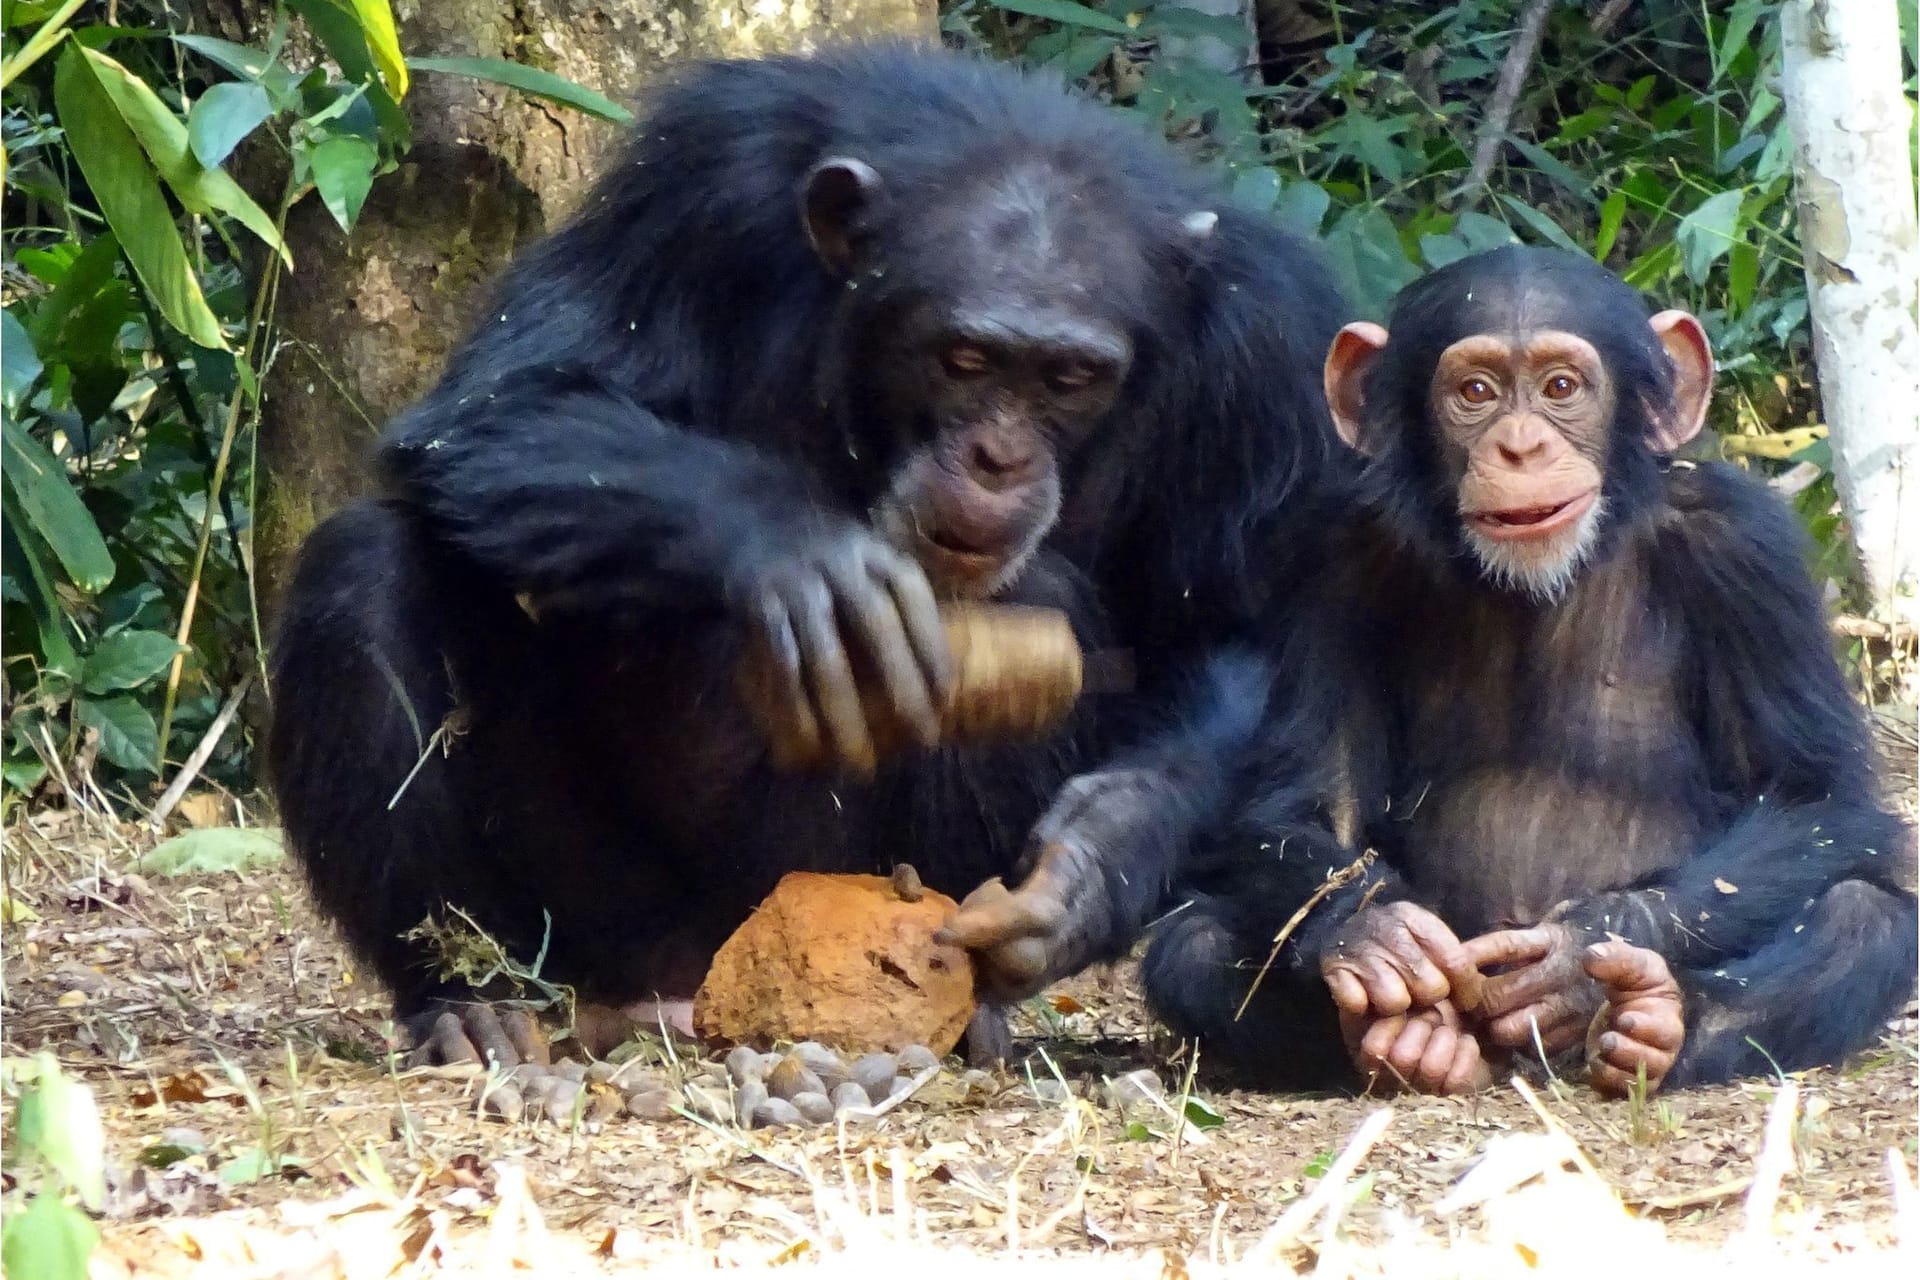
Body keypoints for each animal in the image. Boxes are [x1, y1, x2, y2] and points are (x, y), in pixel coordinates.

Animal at [274, 45, 1351, 1066]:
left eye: (1071, 377)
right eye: (964, 358)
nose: (997, 459)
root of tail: (696, 986)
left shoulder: (1265, 342)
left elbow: (1234, 630)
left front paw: (1093, 863)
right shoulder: (698, 181)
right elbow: (506, 401)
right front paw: (801, 555)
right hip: (596, 919)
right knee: (363, 568)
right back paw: (468, 1001)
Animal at [1144, 245, 1912, 1097]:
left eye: (1561, 388)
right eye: (1475, 392)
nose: (1520, 447)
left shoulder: (1747, 547)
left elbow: (1814, 794)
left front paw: (1579, 953)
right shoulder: (1333, 552)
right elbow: (1308, 800)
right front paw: (1377, 930)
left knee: (1864, 917)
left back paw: (1655, 1023)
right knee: (1192, 944)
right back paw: (1406, 1042)